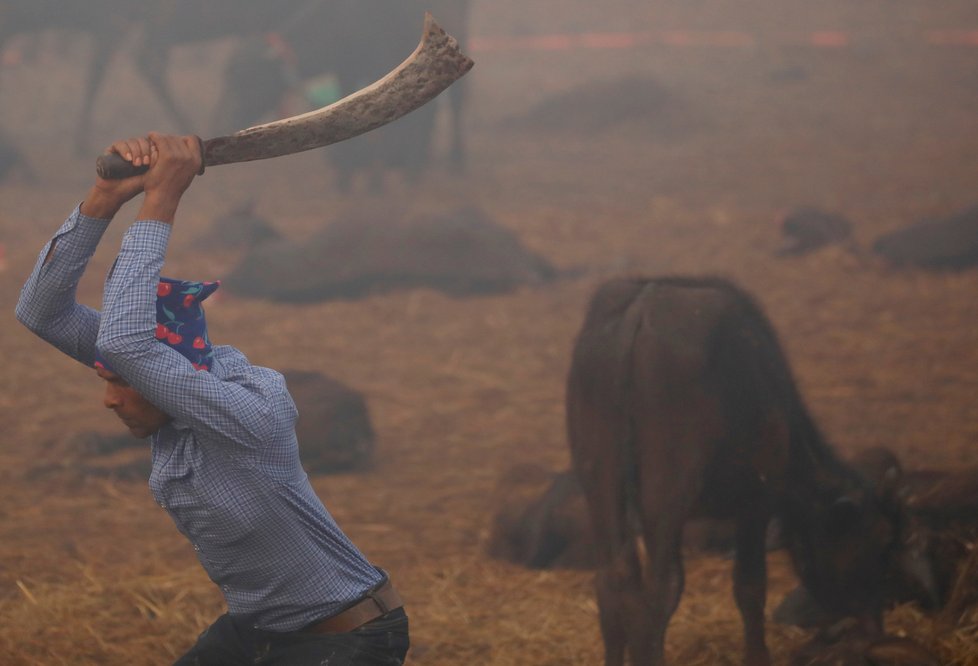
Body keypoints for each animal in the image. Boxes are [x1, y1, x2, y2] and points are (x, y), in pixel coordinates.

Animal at [564, 274, 908, 664]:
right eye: (881, 539)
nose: (875, 621)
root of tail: (641, 307)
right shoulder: (756, 503)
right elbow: (750, 585)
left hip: (599, 482)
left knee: (614, 577)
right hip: (666, 494)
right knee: (661, 586)